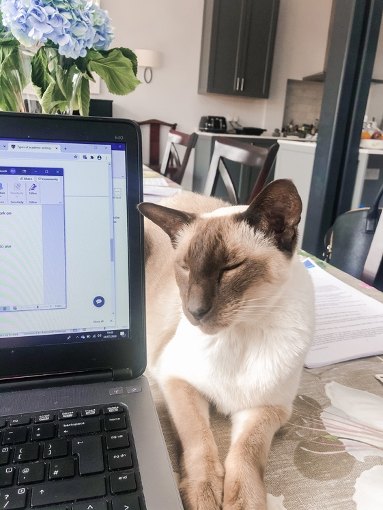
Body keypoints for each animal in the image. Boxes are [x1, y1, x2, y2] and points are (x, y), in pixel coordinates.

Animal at [138, 179, 316, 510]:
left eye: (231, 267)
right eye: (185, 268)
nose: (195, 311)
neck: (240, 333)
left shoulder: (267, 408)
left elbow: (246, 453)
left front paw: (243, 501)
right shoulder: (176, 380)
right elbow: (199, 439)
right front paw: (204, 493)